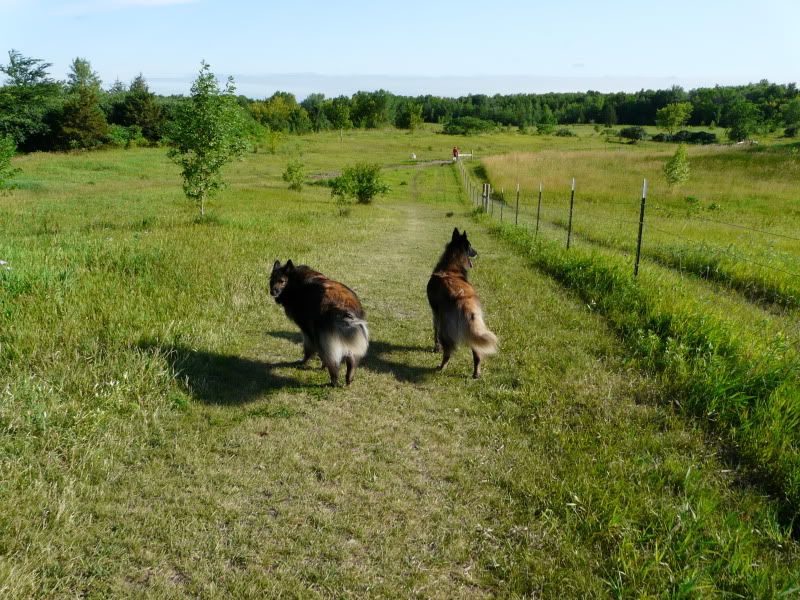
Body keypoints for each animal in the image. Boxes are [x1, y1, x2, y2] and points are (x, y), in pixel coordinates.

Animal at [428, 227, 496, 378]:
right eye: (470, 246)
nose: (477, 253)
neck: (451, 267)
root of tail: (464, 302)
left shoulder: (436, 314)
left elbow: (435, 331)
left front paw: (436, 348)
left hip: (447, 330)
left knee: (448, 352)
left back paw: (441, 367)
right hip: (475, 330)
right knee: (477, 353)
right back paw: (476, 373)